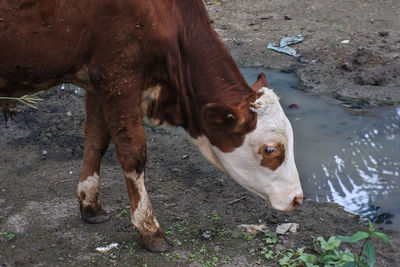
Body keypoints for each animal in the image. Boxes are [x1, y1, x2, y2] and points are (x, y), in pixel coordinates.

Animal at [0, 0, 300, 252]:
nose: (298, 198)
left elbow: (96, 141)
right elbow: (133, 154)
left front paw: (90, 204)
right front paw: (149, 230)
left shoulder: (97, 83)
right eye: (271, 149)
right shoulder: (118, 77)